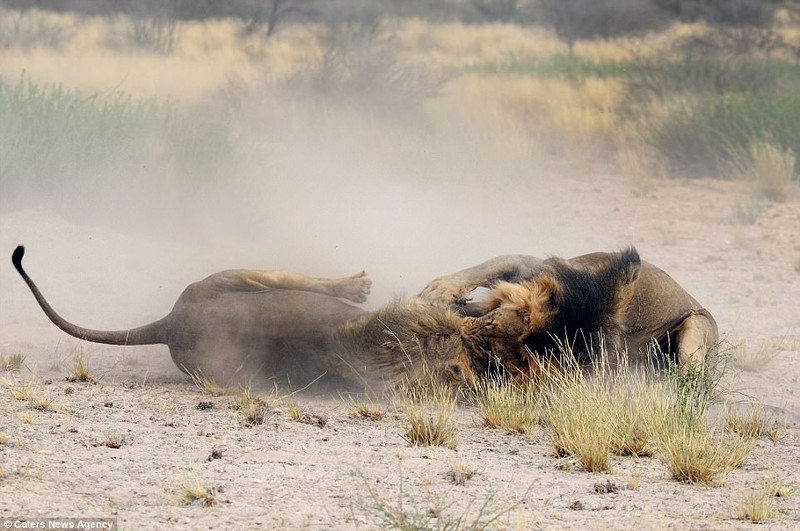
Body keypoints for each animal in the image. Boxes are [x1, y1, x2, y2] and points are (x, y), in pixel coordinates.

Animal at [12, 247, 478, 392]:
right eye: (462, 358)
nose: (476, 378)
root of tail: (169, 324)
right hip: (240, 279)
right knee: (308, 281)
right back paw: (357, 284)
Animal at [418, 247, 720, 380]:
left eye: (496, 352)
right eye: (491, 322)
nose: (470, 336)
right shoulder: (537, 268)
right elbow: (496, 263)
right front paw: (438, 292)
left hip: (697, 328)